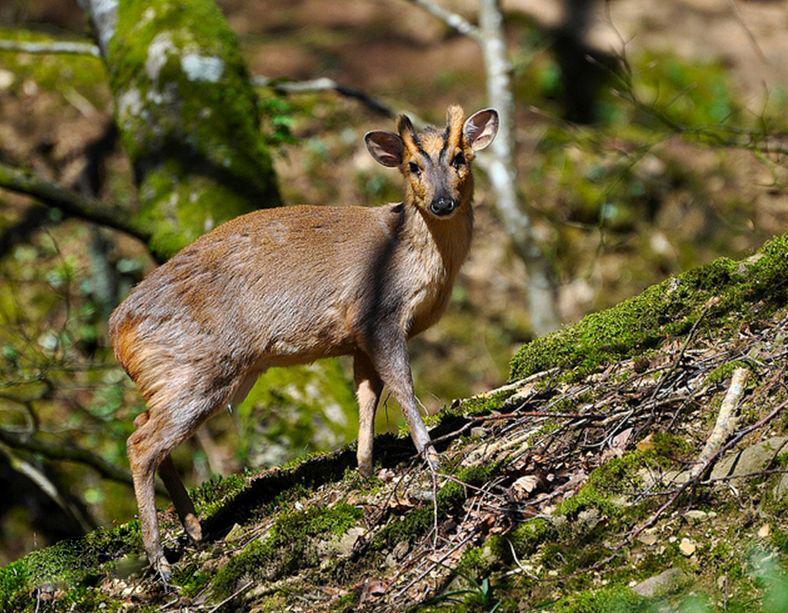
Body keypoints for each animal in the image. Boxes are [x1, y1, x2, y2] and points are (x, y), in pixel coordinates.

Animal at [109, 105, 498, 580]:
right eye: (413, 166)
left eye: (460, 157)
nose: (443, 203)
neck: (419, 263)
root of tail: (117, 332)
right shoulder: (378, 316)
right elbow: (403, 387)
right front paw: (432, 457)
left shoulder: (356, 337)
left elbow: (368, 396)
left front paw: (365, 467)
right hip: (199, 370)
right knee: (141, 443)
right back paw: (161, 561)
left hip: (181, 377)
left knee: (142, 425)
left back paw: (196, 529)